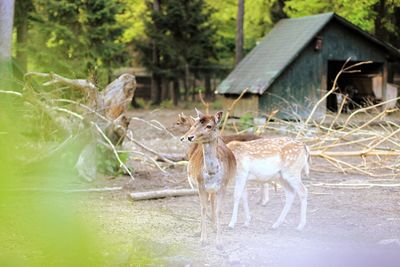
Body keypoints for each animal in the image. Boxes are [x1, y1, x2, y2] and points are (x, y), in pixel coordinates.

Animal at [180, 110, 236, 248]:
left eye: (209, 126)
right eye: (195, 125)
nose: (189, 137)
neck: (211, 173)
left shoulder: (223, 186)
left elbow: (218, 210)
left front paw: (219, 243)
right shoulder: (200, 186)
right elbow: (203, 209)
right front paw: (203, 240)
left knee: (213, 202)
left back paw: (214, 227)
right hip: (195, 186)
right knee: (204, 205)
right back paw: (199, 230)